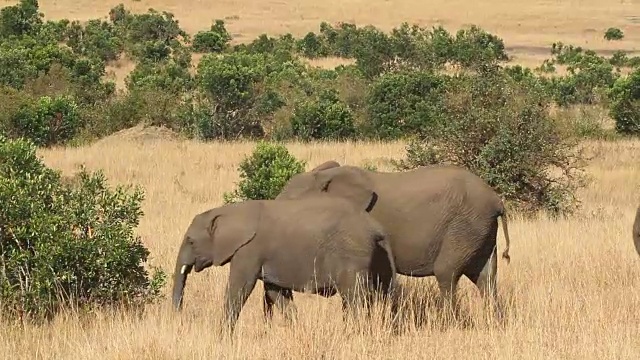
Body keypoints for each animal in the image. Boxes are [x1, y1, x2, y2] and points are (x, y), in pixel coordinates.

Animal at [172, 197, 398, 334]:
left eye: (191, 241)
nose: (178, 317)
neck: (228, 212)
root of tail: (377, 228)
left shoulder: (249, 250)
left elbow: (240, 288)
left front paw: (223, 337)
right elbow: (276, 292)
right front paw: (296, 330)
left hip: (352, 255)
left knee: (355, 297)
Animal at [278, 160, 512, 318]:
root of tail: (497, 201)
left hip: (465, 226)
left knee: (447, 273)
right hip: (480, 231)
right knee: (486, 278)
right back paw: (494, 322)